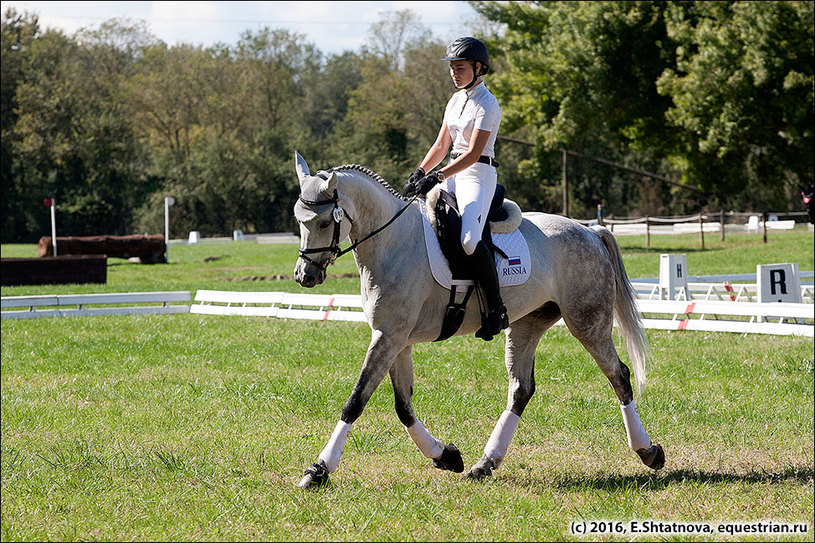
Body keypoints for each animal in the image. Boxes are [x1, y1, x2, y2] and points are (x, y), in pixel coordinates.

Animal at [292, 153, 664, 488]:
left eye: (324, 222)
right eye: (299, 221)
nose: (304, 276)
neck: (392, 241)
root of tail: (589, 231)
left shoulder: (389, 336)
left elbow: (356, 401)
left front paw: (319, 470)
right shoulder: (396, 339)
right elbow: (403, 406)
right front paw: (446, 456)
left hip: (587, 321)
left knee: (618, 375)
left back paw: (648, 451)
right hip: (527, 323)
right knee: (521, 389)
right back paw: (486, 463)